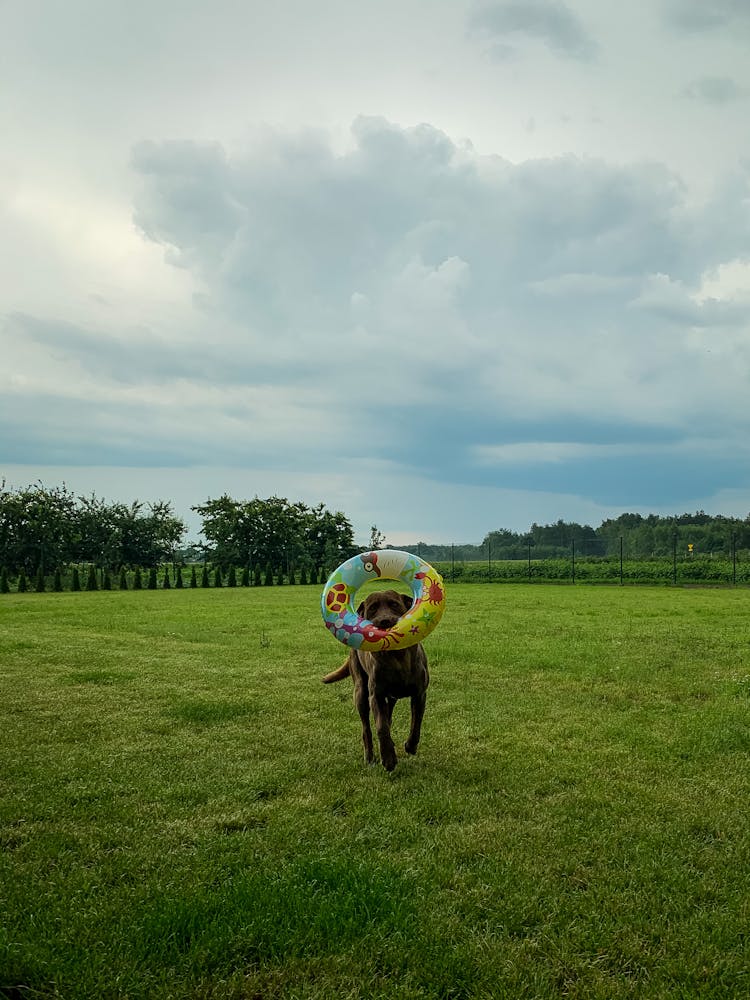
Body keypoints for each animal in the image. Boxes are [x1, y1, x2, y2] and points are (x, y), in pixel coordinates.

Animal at [322, 584, 432, 772]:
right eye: (372, 608)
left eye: (394, 604)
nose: (385, 621)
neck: (397, 656)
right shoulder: (376, 695)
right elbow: (381, 726)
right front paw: (388, 758)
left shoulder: (419, 694)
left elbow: (416, 722)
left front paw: (410, 746)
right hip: (360, 691)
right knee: (367, 727)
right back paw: (370, 756)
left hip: (391, 698)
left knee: (389, 716)